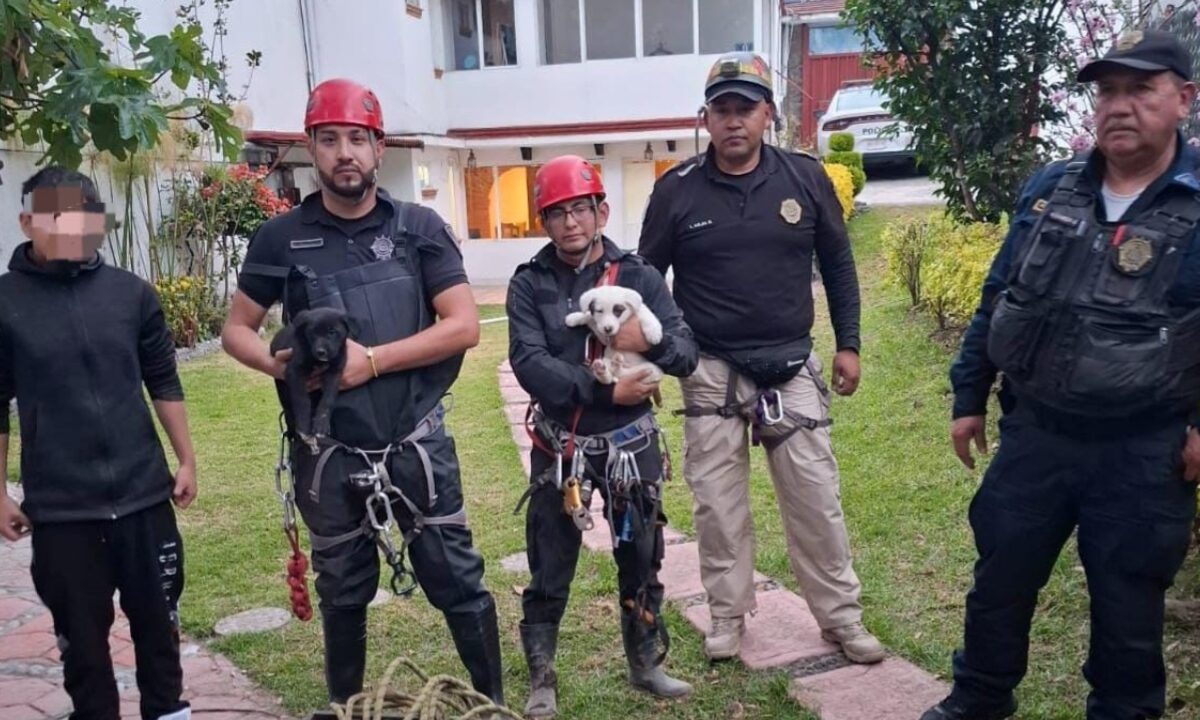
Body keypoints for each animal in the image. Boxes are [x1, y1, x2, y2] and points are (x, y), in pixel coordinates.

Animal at [268, 306, 350, 453]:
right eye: (312, 333)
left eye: (332, 332)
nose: (321, 352)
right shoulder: (294, 372)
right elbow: (302, 400)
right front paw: (304, 426)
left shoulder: (335, 372)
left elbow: (328, 399)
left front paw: (321, 424)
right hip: (282, 390)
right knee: (288, 410)